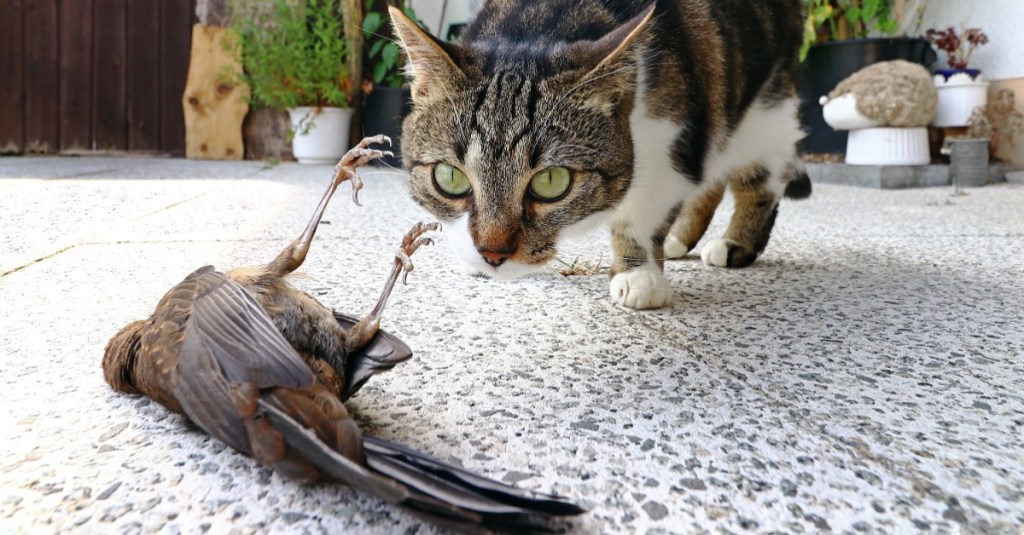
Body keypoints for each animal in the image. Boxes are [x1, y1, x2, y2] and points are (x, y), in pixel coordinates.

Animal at [387, 0, 811, 307]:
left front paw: (639, 276)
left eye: (551, 181)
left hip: (762, 114)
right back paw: (679, 239)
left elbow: (641, 214)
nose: (492, 254)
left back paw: (735, 244)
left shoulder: (670, 135)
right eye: (450, 177)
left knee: (758, 181)